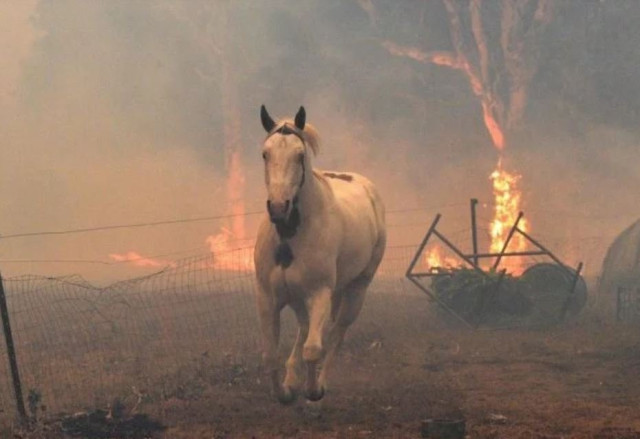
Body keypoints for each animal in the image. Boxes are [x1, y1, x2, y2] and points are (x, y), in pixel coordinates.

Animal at [254, 105, 386, 403]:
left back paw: (319, 382)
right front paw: (285, 392)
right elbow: (269, 355)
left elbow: (314, 349)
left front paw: (312, 390)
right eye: (265, 154)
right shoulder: (268, 297)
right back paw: (293, 378)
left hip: (356, 290)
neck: (290, 236)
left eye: (299, 155)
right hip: (300, 298)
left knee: (336, 333)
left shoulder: (320, 293)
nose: (278, 207)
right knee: (305, 329)